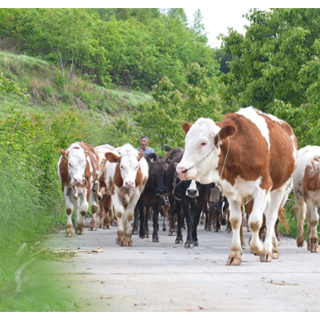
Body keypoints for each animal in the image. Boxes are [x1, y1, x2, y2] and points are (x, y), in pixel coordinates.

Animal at [175, 107, 298, 264]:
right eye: (187, 141)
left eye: (203, 143)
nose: (180, 169)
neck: (240, 150)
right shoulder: (230, 191)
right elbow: (235, 221)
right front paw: (235, 254)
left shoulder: (263, 187)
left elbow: (254, 222)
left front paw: (259, 248)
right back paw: (274, 247)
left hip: (280, 188)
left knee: (271, 216)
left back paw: (268, 250)